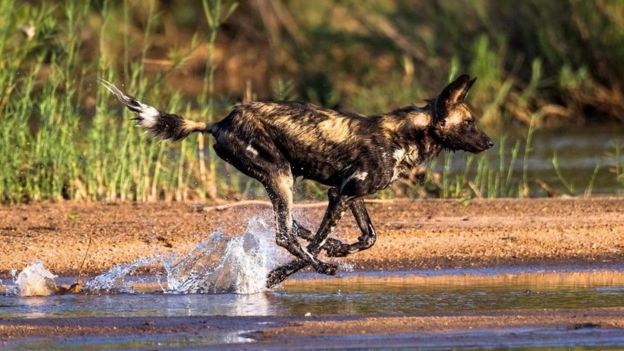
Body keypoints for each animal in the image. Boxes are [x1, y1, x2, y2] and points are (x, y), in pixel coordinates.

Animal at [101, 75, 492, 288]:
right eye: (469, 123)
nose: (490, 143)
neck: (403, 136)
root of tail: (219, 121)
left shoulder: (347, 194)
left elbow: (368, 237)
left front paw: (340, 248)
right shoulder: (342, 195)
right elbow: (312, 248)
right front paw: (279, 275)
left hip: (279, 179)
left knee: (291, 228)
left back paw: (333, 246)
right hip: (280, 175)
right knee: (285, 235)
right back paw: (323, 263)